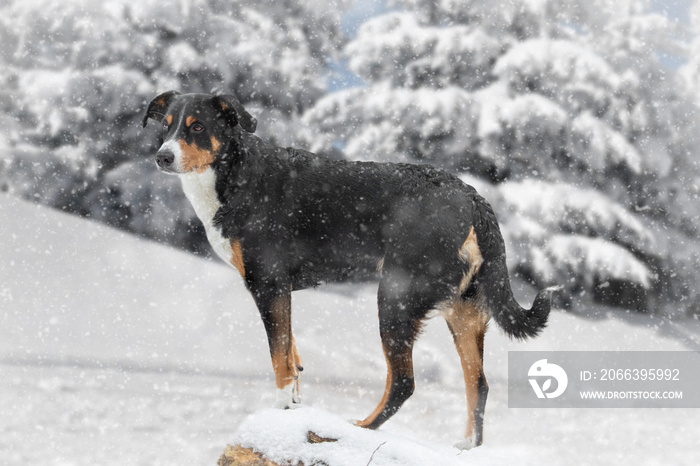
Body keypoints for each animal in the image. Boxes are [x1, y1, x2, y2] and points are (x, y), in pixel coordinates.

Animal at [144, 90, 556, 448]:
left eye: (198, 127)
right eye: (166, 126)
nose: (163, 157)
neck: (236, 175)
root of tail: (472, 199)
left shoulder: (268, 284)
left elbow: (279, 359)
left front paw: (281, 408)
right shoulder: (279, 291)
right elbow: (291, 355)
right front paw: (294, 404)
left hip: (395, 298)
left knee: (403, 382)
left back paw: (360, 426)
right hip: (464, 313)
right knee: (478, 384)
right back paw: (466, 447)